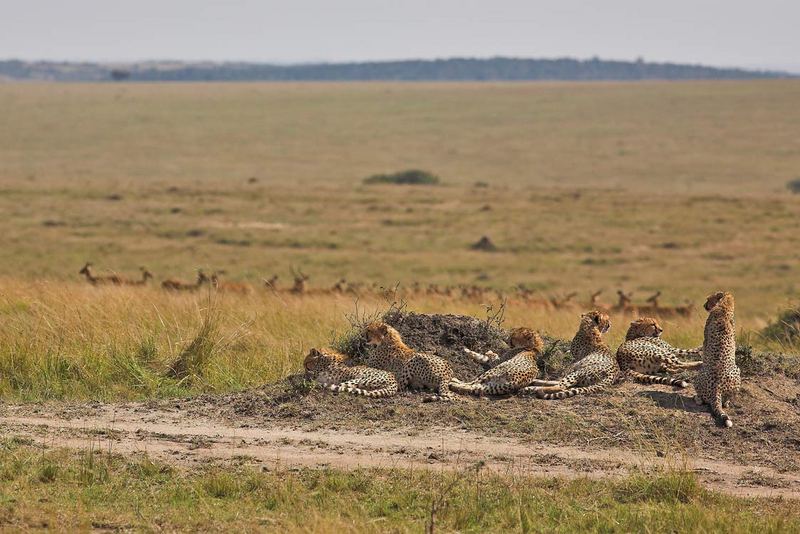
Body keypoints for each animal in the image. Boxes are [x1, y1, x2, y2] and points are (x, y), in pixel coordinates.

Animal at [692, 292, 740, 430]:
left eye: (708, 299)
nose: (704, 305)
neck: (724, 307)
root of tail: (716, 388)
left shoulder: (705, 340)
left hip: (698, 377)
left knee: (701, 399)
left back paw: (696, 398)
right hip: (737, 372)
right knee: (726, 401)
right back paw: (727, 402)